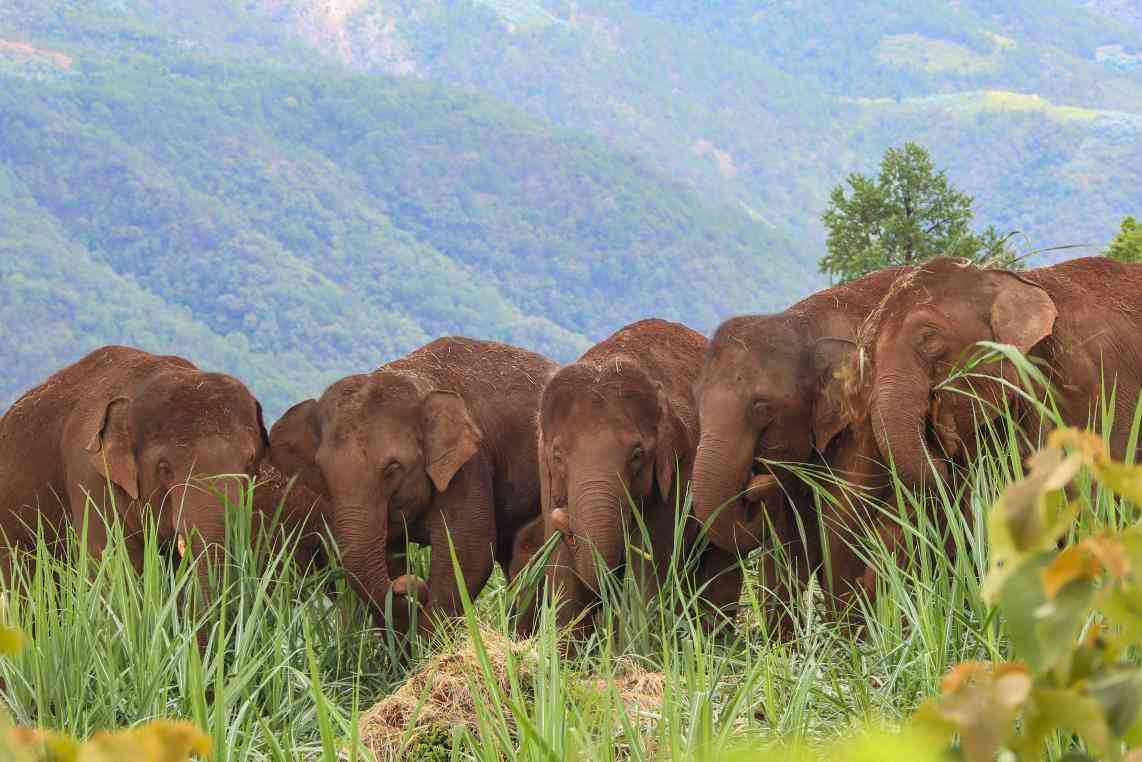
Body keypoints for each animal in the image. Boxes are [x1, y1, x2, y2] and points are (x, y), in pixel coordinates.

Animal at [269, 336, 556, 632]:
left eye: (392, 469)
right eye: (323, 472)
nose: (410, 588)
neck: (413, 377)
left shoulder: (468, 465)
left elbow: (466, 556)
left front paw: (428, 640)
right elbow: (390, 555)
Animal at [537, 319, 742, 633]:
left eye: (637, 455)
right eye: (558, 456)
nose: (565, 520)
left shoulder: (678, 471)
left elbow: (646, 574)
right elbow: (563, 580)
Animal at [690, 267, 911, 603]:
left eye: (762, 407)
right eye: (697, 402)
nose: (755, 482)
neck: (803, 325)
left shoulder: (860, 423)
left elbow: (841, 529)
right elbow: (788, 550)